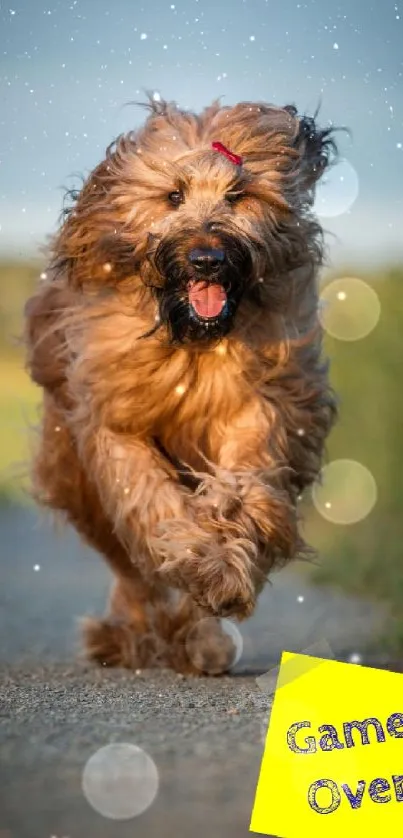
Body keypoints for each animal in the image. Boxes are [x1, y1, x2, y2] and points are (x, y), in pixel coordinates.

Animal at [24, 97, 338, 676]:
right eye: (173, 195)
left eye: (238, 195)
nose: (207, 258)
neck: (191, 340)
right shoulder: (114, 420)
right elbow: (150, 498)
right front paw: (199, 559)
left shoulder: (259, 404)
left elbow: (242, 485)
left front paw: (224, 570)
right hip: (75, 478)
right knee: (130, 567)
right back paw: (135, 636)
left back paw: (196, 639)